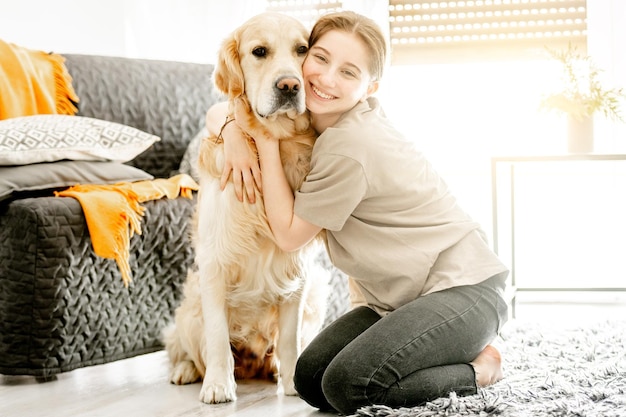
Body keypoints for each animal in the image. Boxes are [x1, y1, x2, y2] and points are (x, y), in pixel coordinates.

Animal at [161, 13, 326, 404]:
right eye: (259, 52)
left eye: (302, 50)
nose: (289, 85)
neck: (272, 148)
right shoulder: (214, 264)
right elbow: (217, 338)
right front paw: (219, 385)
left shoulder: (297, 272)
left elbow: (290, 337)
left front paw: (293, 380)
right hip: (189, 307)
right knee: (188, 348)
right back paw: (186, 371)